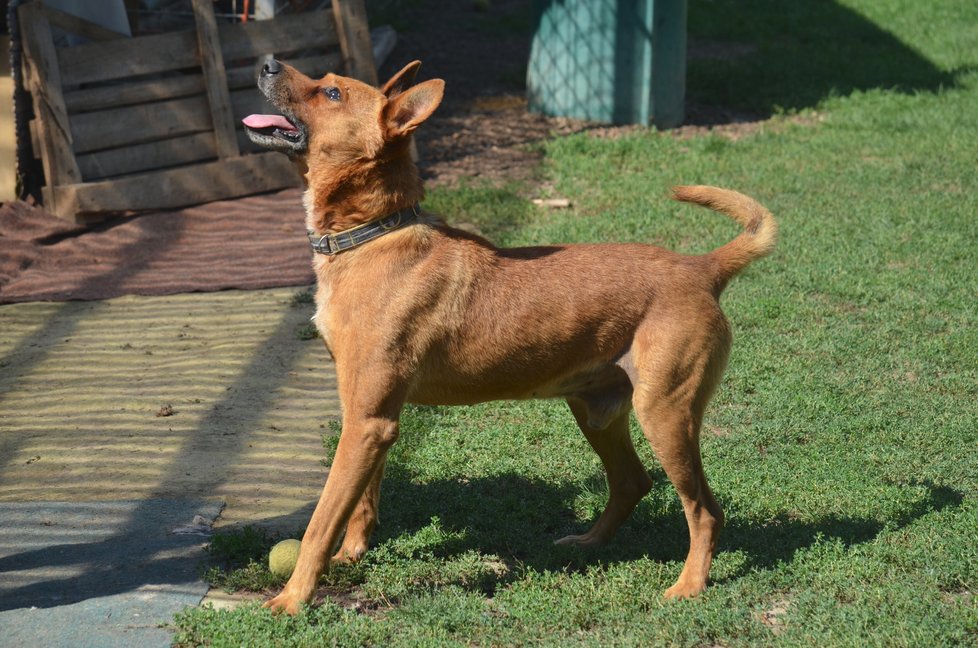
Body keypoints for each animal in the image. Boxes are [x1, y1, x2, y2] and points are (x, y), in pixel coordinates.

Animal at [240, 59, 772, 612]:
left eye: (332, 92)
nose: (267, 63)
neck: (372, 235)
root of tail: (702, 267)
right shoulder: (369, 417)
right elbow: (362, 501)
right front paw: (352, 555)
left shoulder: (367, 422)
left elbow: (321, 521)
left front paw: (292, 599)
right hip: (596, 411)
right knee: (633, 482)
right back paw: (587, 542)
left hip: (666, 415)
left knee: (704, 510)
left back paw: (689, 585)